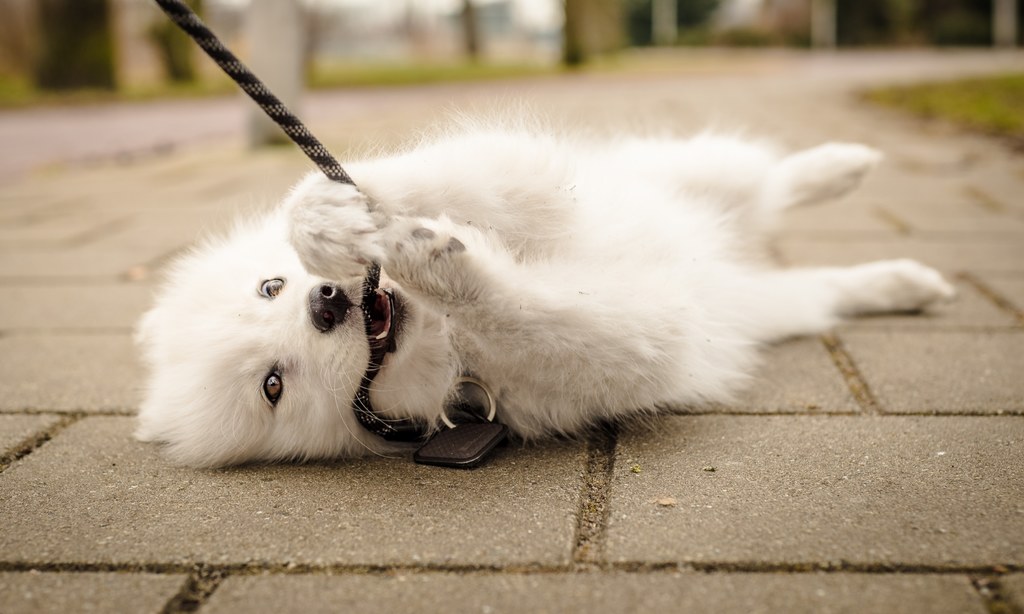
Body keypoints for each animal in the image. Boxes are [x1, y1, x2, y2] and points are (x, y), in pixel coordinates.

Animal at [134, 125, 950, 470]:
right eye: (273, 384)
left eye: (271, 286)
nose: (327, 302)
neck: (440, 341)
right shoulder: (629, 346)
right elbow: (532, 313)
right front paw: (436, 260)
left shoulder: (534, 184)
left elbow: (465, 182)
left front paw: (337, 219)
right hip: (772, 304)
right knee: (818, 278)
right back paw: (906, 282)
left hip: (686, 172)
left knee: (767, 181)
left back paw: (843, 166)